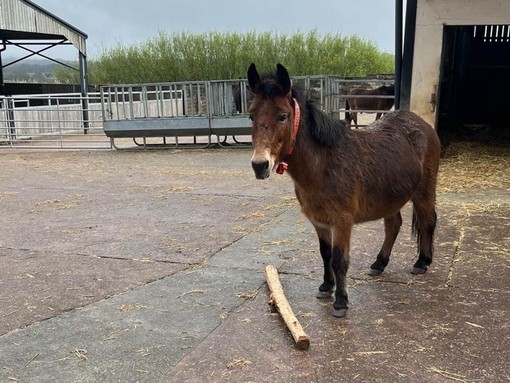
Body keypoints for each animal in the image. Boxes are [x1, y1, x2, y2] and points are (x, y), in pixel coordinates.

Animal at [249, 64, 440, 320]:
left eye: (283, 116)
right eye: (251, 115)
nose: (260, 165)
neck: (325, 163)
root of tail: (422, 124)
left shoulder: (342, 221)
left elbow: (339, 259)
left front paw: (340, 301)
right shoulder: (319, 221)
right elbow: (326, 254)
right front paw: (326, 287)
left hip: (424, 191)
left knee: (427, 220)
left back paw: (422, 262)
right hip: (391, 198)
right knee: (393, 225)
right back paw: (379, 263)